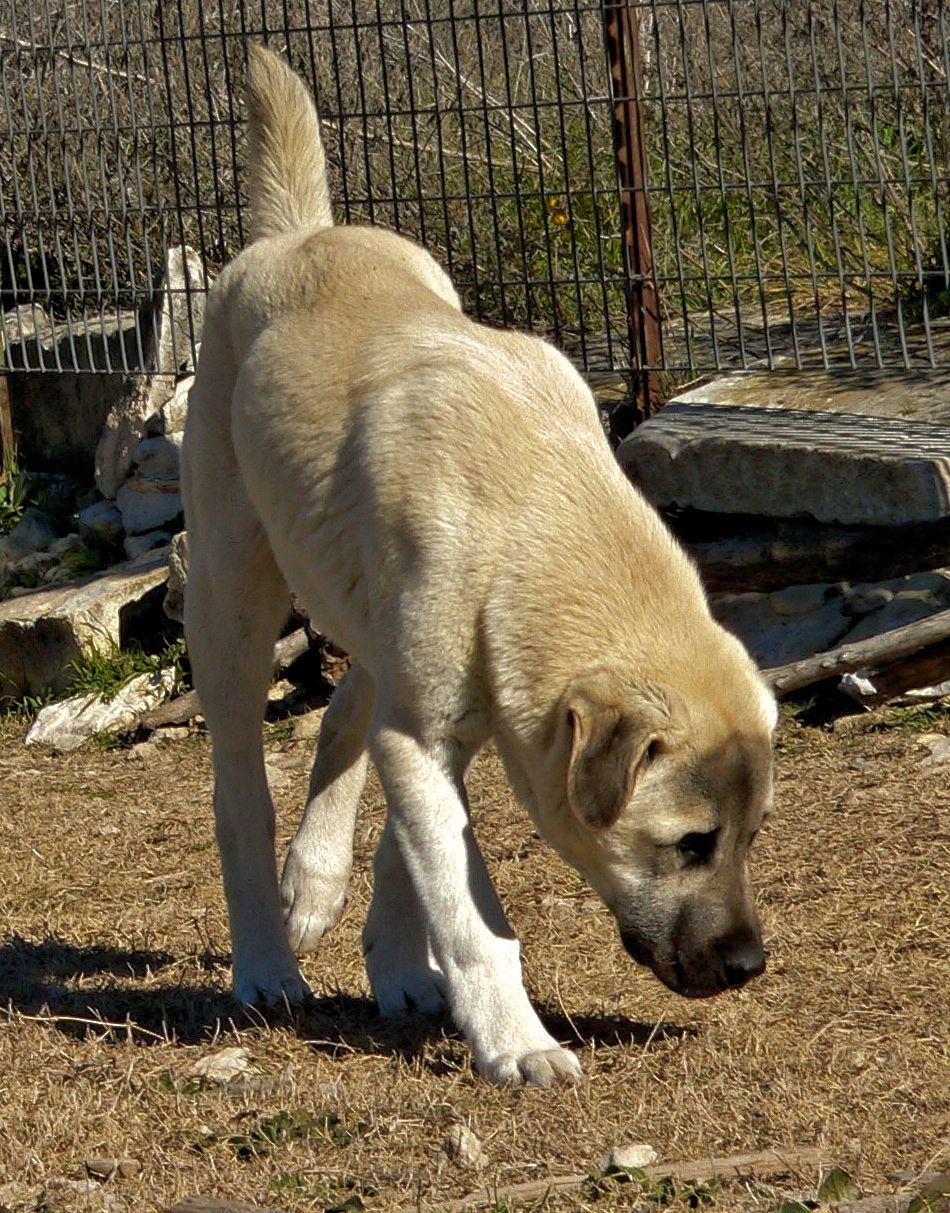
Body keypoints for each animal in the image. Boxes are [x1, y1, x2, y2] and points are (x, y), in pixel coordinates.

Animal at [184, 44, 781, 1091]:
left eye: (752, 836)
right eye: (689, 842)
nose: (749, 964)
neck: (536, 514)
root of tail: (297, 236)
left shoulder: (445, 727)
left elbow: (413, 860)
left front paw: (398, 961)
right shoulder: (424, 738)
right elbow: (470, 911)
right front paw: (516, 1040)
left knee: (345, 708)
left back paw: (317, 881)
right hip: (233, 606)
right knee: (240, 795)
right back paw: (266, 956)